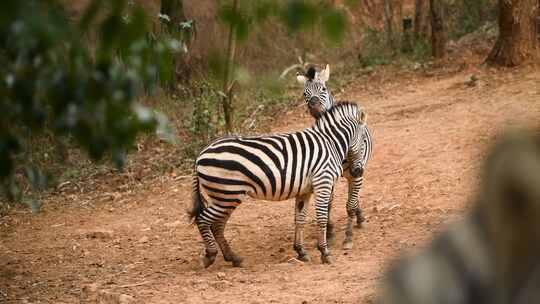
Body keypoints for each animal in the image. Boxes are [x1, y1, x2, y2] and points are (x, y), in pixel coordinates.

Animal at [188, 102, 370, 268]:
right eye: (363, 141)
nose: (357, 172)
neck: (330, 142)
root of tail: (200, 155)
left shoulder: (305, 191)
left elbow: (300, 219)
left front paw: (301, 251)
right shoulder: (323, 182)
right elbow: (322, 218)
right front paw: (325, 253)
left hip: (225, 197)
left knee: (217, 225)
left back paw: (233, 258)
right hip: (227, 195)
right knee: (202, 219)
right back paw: (211, 255)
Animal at [296, 64, 372, 249]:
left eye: (323, 89)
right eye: (304, 94)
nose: (314, 105)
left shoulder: (356, 173)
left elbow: (350, 204)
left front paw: (348, 237)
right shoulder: (326, 175)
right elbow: (329, 204)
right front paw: (329, 232)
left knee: (353, 198)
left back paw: (359, 218)